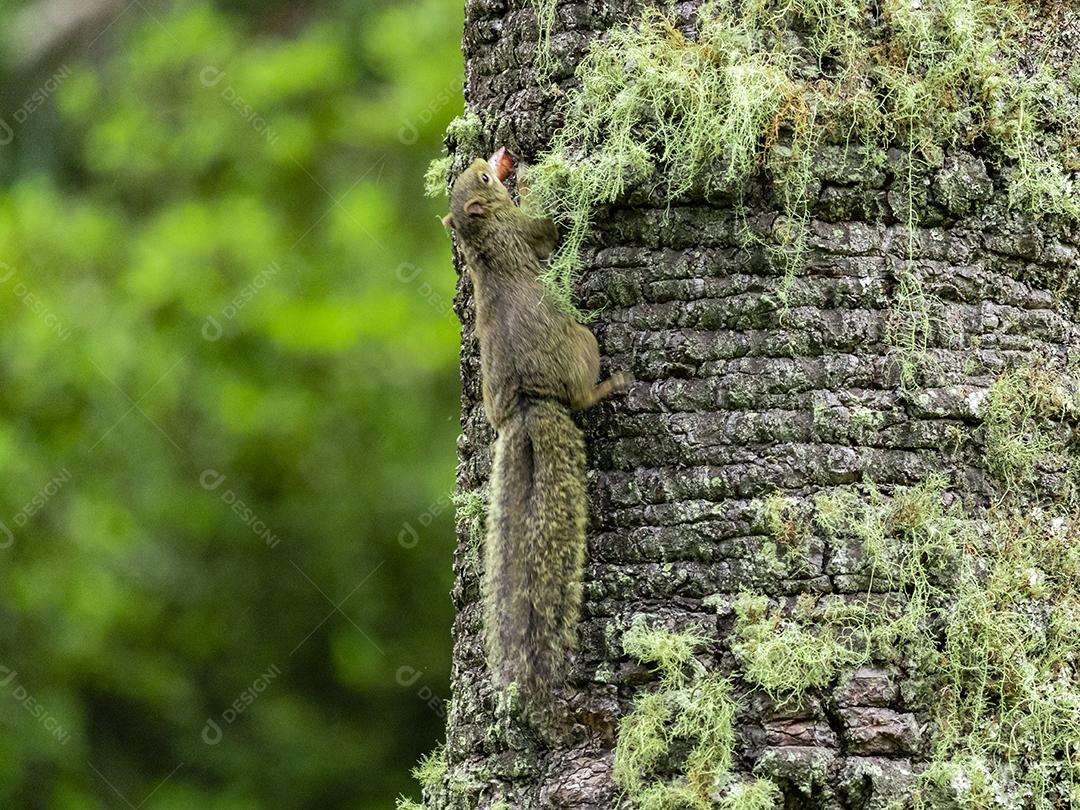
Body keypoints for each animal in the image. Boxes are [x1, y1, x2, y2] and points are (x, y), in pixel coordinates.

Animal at [440, 149, 630, 708]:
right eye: (484, 179)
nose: (491, 157)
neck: (481, 238)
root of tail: (528, 406)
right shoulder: (525, 233)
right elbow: (547, 229)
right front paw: (539, 178)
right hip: (583, 342)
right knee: (584, 392)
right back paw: (613, 383)